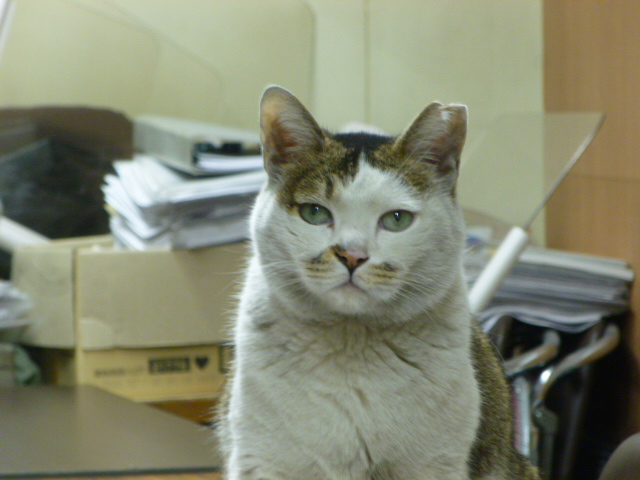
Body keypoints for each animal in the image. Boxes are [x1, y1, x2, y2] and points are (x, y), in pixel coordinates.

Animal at [218, 87, 536, 480]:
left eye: (397, 219)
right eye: (314, 213)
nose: (352, 255)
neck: (351, 347)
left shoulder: (437, 462)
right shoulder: (262, 459)